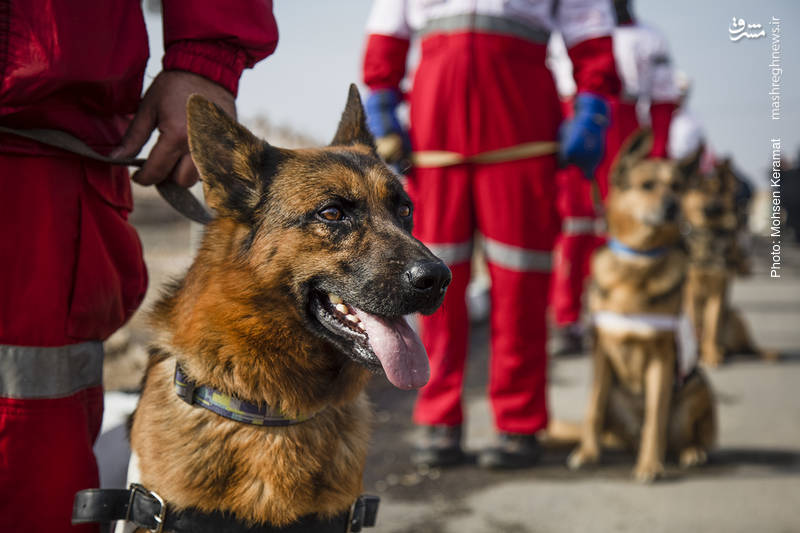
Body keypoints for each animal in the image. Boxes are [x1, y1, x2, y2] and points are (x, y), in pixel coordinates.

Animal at [568, 130, 720, 482]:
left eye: (677, 186)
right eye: (647, 185)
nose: (673, 206)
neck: (638, 261)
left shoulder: (662, 358)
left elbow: (656, 417)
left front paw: (650, 465)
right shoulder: (601, 352)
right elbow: (592, 409)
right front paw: (588, 453)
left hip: (698, 387)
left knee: (687, 435)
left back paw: (691, 453)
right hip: (616, 395)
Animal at [680, 158, 776, 366]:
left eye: (718, 190)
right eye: (701, 190)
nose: (715, 206)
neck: (709, 236)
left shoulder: (719, 289)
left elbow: (712, 325)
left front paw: (711, 354)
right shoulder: (690, 290)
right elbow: (695, 320)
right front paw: (698, 355)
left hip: (735, 316)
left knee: (748, 348)